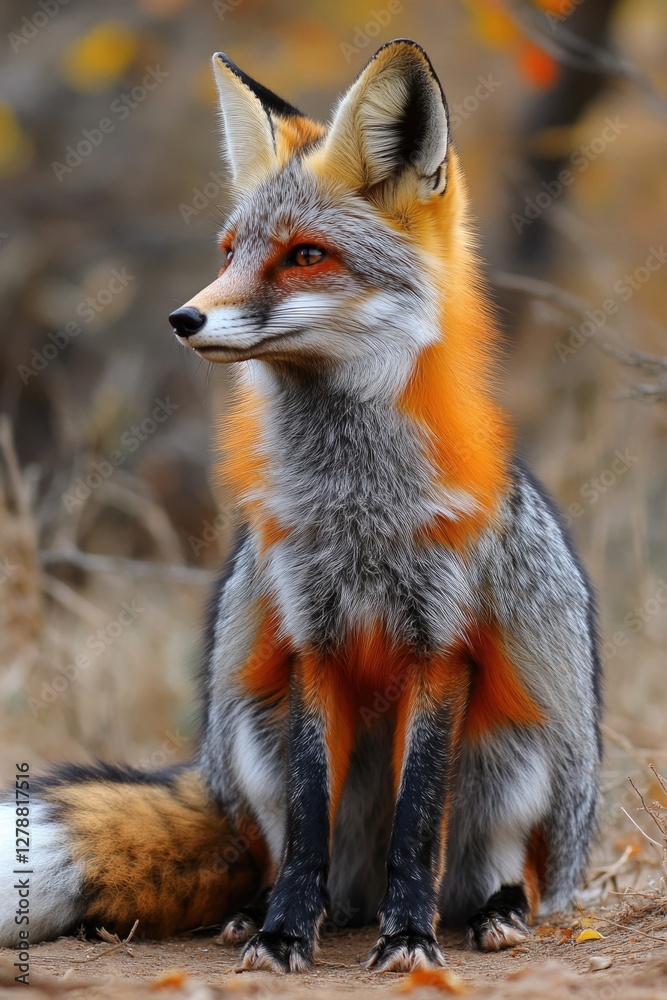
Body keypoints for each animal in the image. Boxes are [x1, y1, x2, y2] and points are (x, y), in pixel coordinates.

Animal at [0, 40, 601, 973]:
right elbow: (310, 822)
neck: (354, 508)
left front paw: (409, 937)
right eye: (228, 251)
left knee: (489, 870)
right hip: (253, 734)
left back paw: (485, 915)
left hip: (516, 755)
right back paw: (266, 911)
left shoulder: (441, 647)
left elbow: (416, 825)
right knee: (289, 852)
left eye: (305, 255)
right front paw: (285, 932)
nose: (183, 318)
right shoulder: (307, 642)